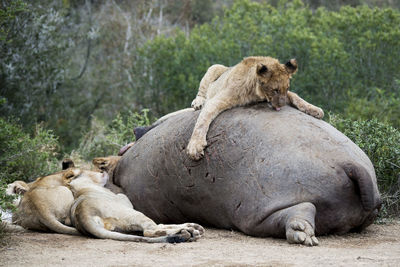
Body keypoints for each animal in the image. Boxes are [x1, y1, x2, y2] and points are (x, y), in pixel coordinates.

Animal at [64, 168, 205, 243]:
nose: (102, 170)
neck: (79, 188)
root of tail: (82, 215)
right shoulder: (123, 198)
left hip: (125, 225)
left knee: (155, 227)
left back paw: (191, 228)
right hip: (132, 214)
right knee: (149, 231)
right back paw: (190, 231)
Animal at [186, 56, 324, 160]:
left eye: (287, 88)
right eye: (275, 90)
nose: (282, 105)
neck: (254, 92)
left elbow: (296, 96)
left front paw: (315, 110)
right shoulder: (219, 99)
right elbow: (202, 120)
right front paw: (195, 147)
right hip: (214, 67)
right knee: (202, 91)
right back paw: (198, 102)